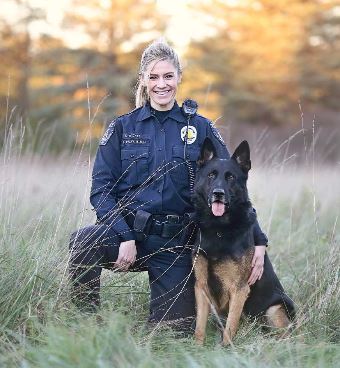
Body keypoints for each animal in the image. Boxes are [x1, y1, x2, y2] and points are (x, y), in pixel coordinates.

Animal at [193, 137, 294, 344]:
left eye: (230, 177)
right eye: (211, 175)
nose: (218, 193)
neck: (219, 229)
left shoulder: (239, 289)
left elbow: (230, 327)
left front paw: (226, 348)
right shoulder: (201, 286)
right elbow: (199, 327)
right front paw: (197, 347)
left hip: (274, 310)